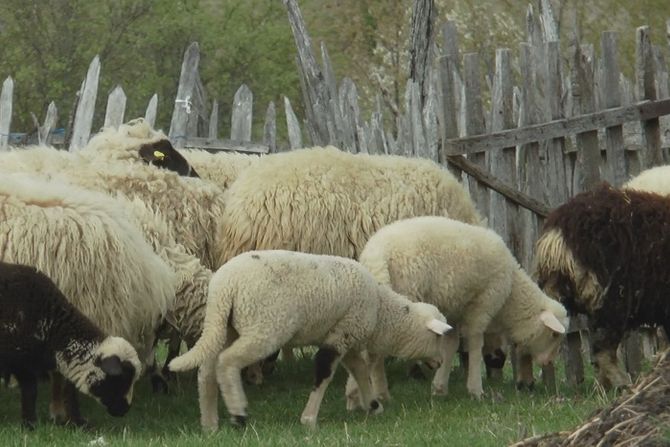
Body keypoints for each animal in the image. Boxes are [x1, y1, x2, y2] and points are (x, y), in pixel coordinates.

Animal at [0, 262, 143, 430]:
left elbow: (68, 390)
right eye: (122, 378)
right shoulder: (20, 361)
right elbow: (31, 391)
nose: (124, 410)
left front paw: (78, 422)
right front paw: (29, 423)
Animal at [168, 250, 454, 432]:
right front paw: (309, 419)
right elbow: (324, 373)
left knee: (206, 371)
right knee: (226, 363)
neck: (381, 313)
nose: (440, 363)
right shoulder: (341, 336)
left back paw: (210, 424)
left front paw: (373, 405)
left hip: (225, 327)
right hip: (264, 327)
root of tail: (224, 287)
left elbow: (360, 372)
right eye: (438, 338)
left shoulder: (347, 338)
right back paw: (238, 414)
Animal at [354, 217, 568, 402]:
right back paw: (380, 393)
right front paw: (476, 389)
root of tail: (377, 254)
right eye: (554, 335)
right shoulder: (483, 305)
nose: (549, 362)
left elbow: (450, 345)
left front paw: (440, 387)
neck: (511, 294)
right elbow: (475, 343)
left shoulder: (453, 311)